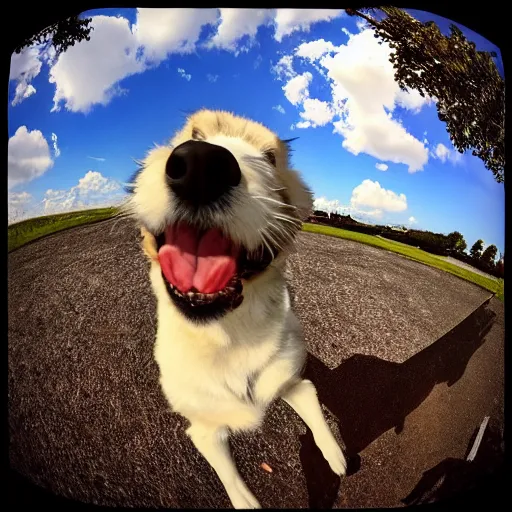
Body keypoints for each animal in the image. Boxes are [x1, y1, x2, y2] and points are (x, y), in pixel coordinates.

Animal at [124, 109, 348, 508]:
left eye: (271, 158)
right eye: (195, 134)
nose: (201, 164)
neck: (228, 334)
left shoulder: (286, 377)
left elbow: (307, 393)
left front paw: (334, 455)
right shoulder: (204, 428)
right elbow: (239, 489)